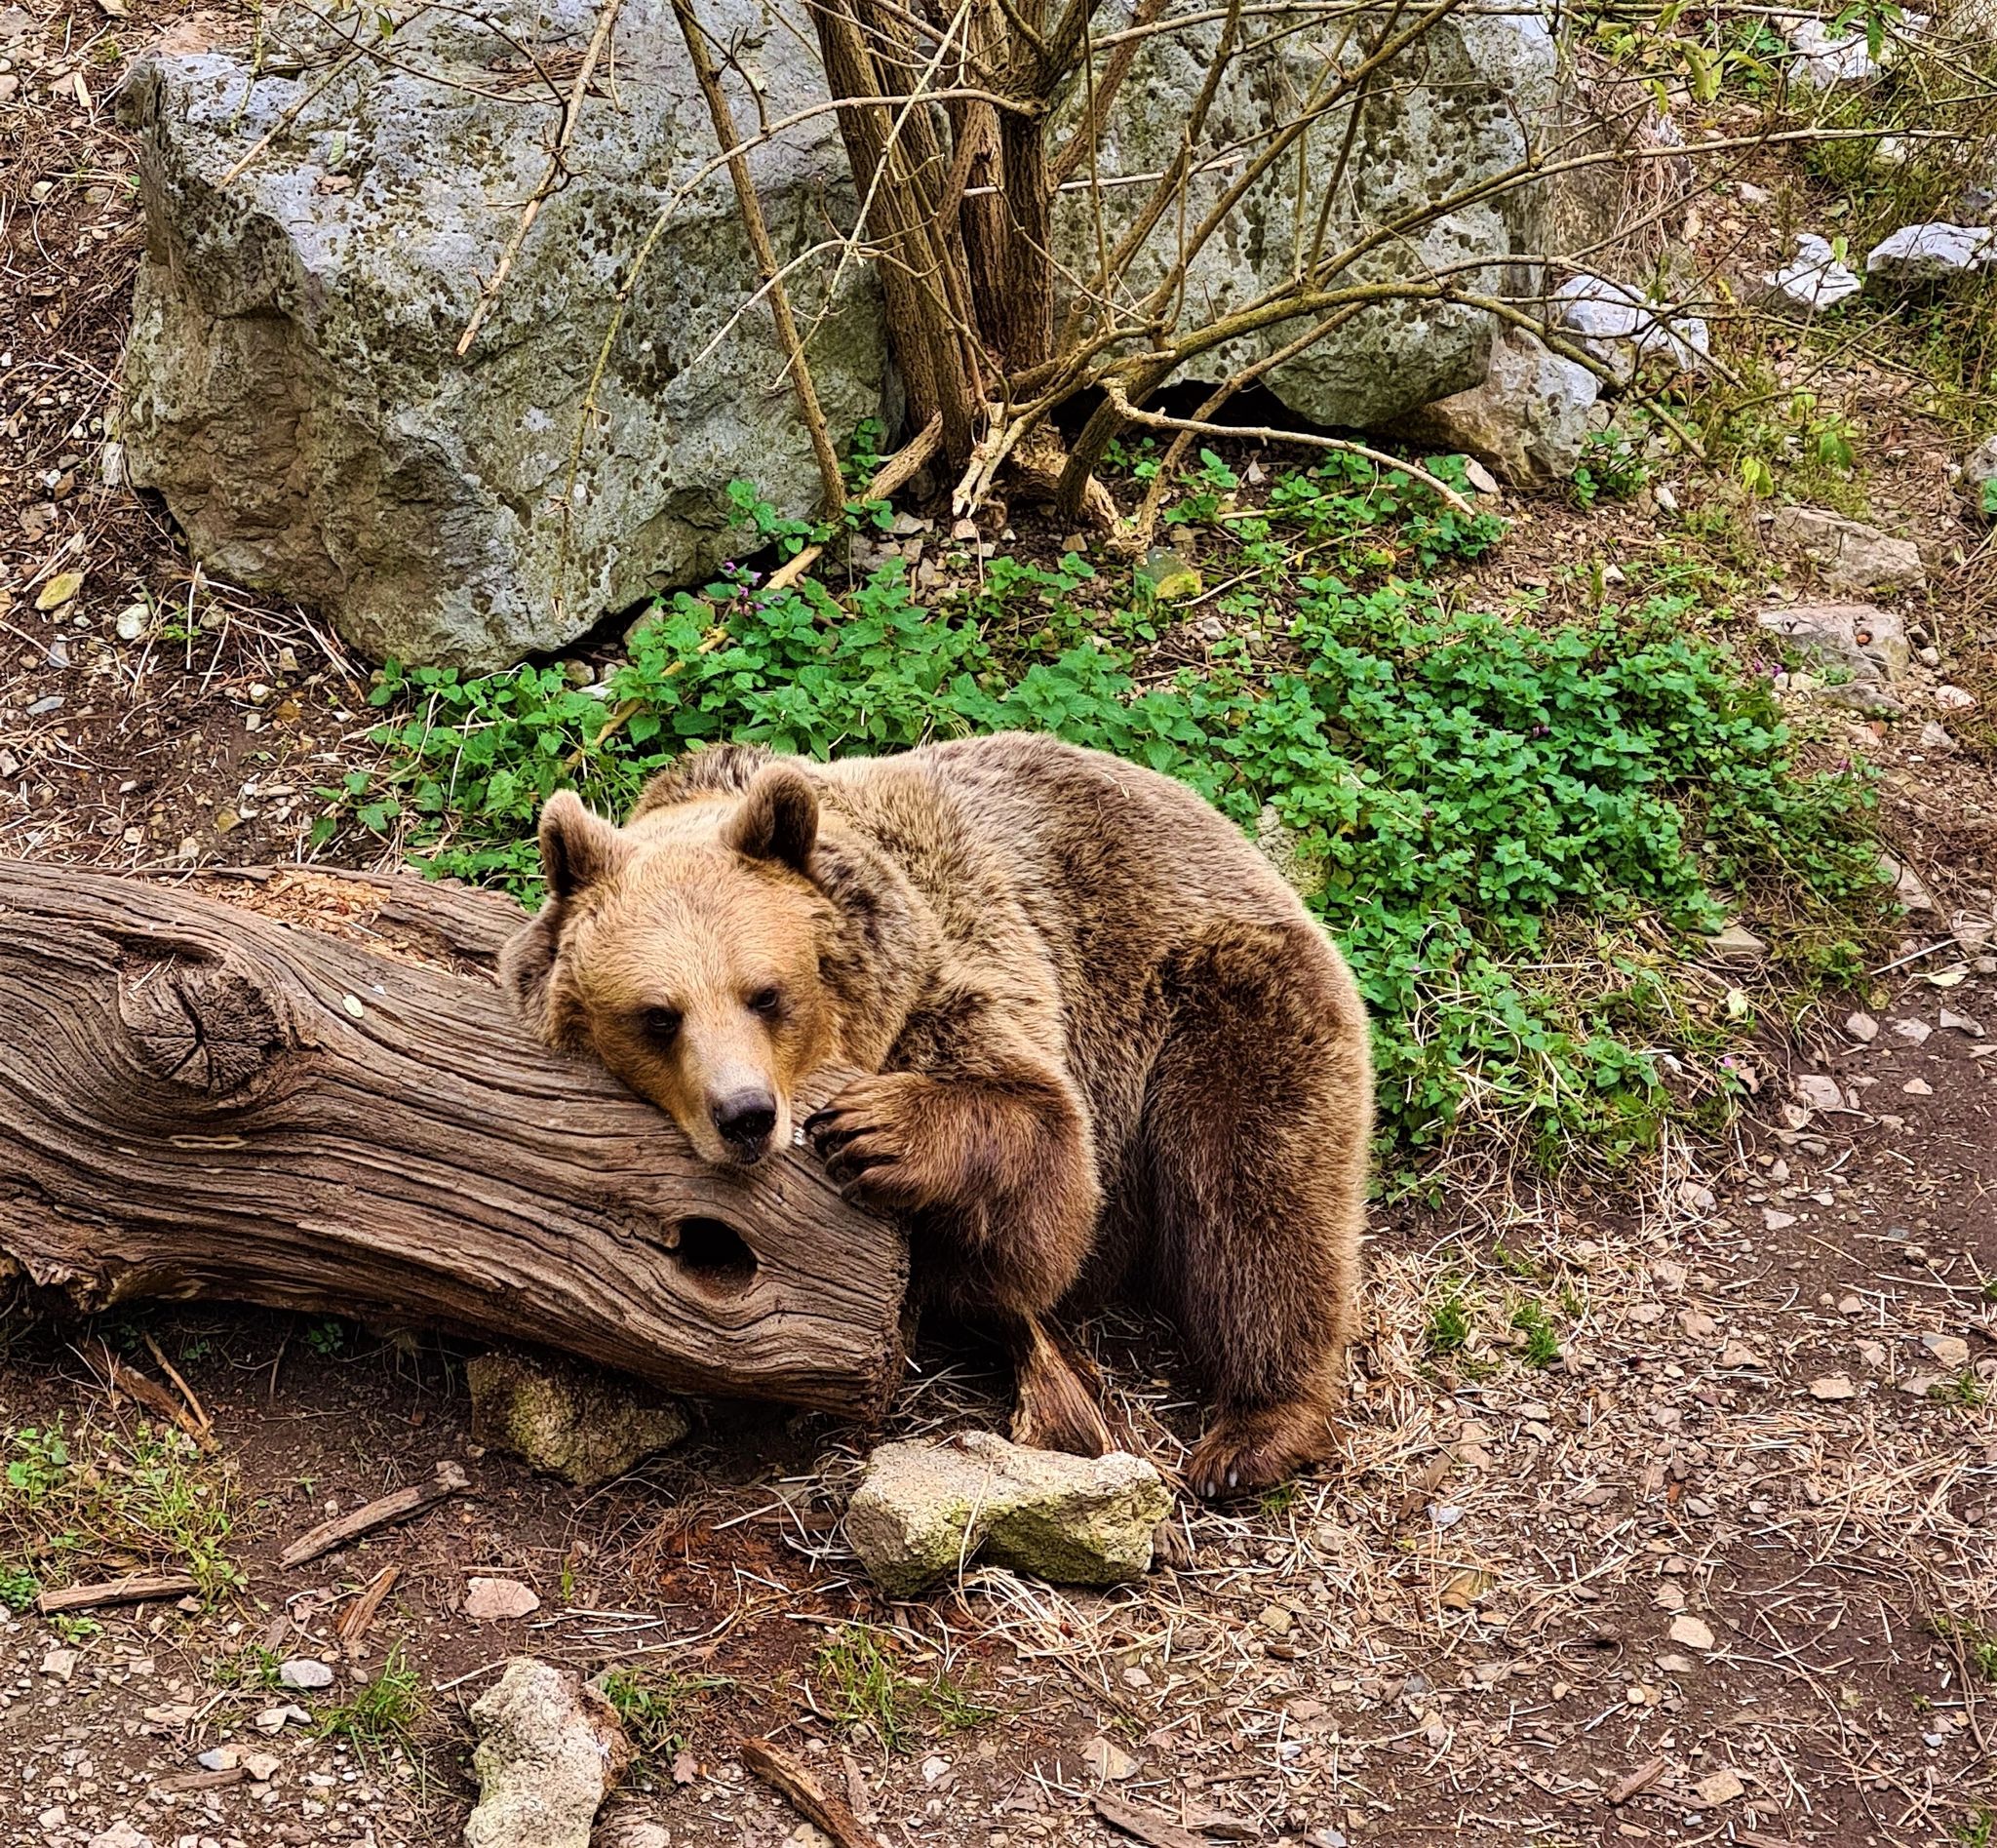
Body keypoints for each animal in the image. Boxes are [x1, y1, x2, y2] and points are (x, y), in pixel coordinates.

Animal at [500, 731, 1372, 1497]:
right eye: (659, 1015)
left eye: (765, 994)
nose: (745, 1114)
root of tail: (1243, 850)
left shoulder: (963, 969)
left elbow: (1051, 1187)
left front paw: (875, 1132)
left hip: (1214, 1004)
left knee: (1254, 1200)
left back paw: (1252, 1431)